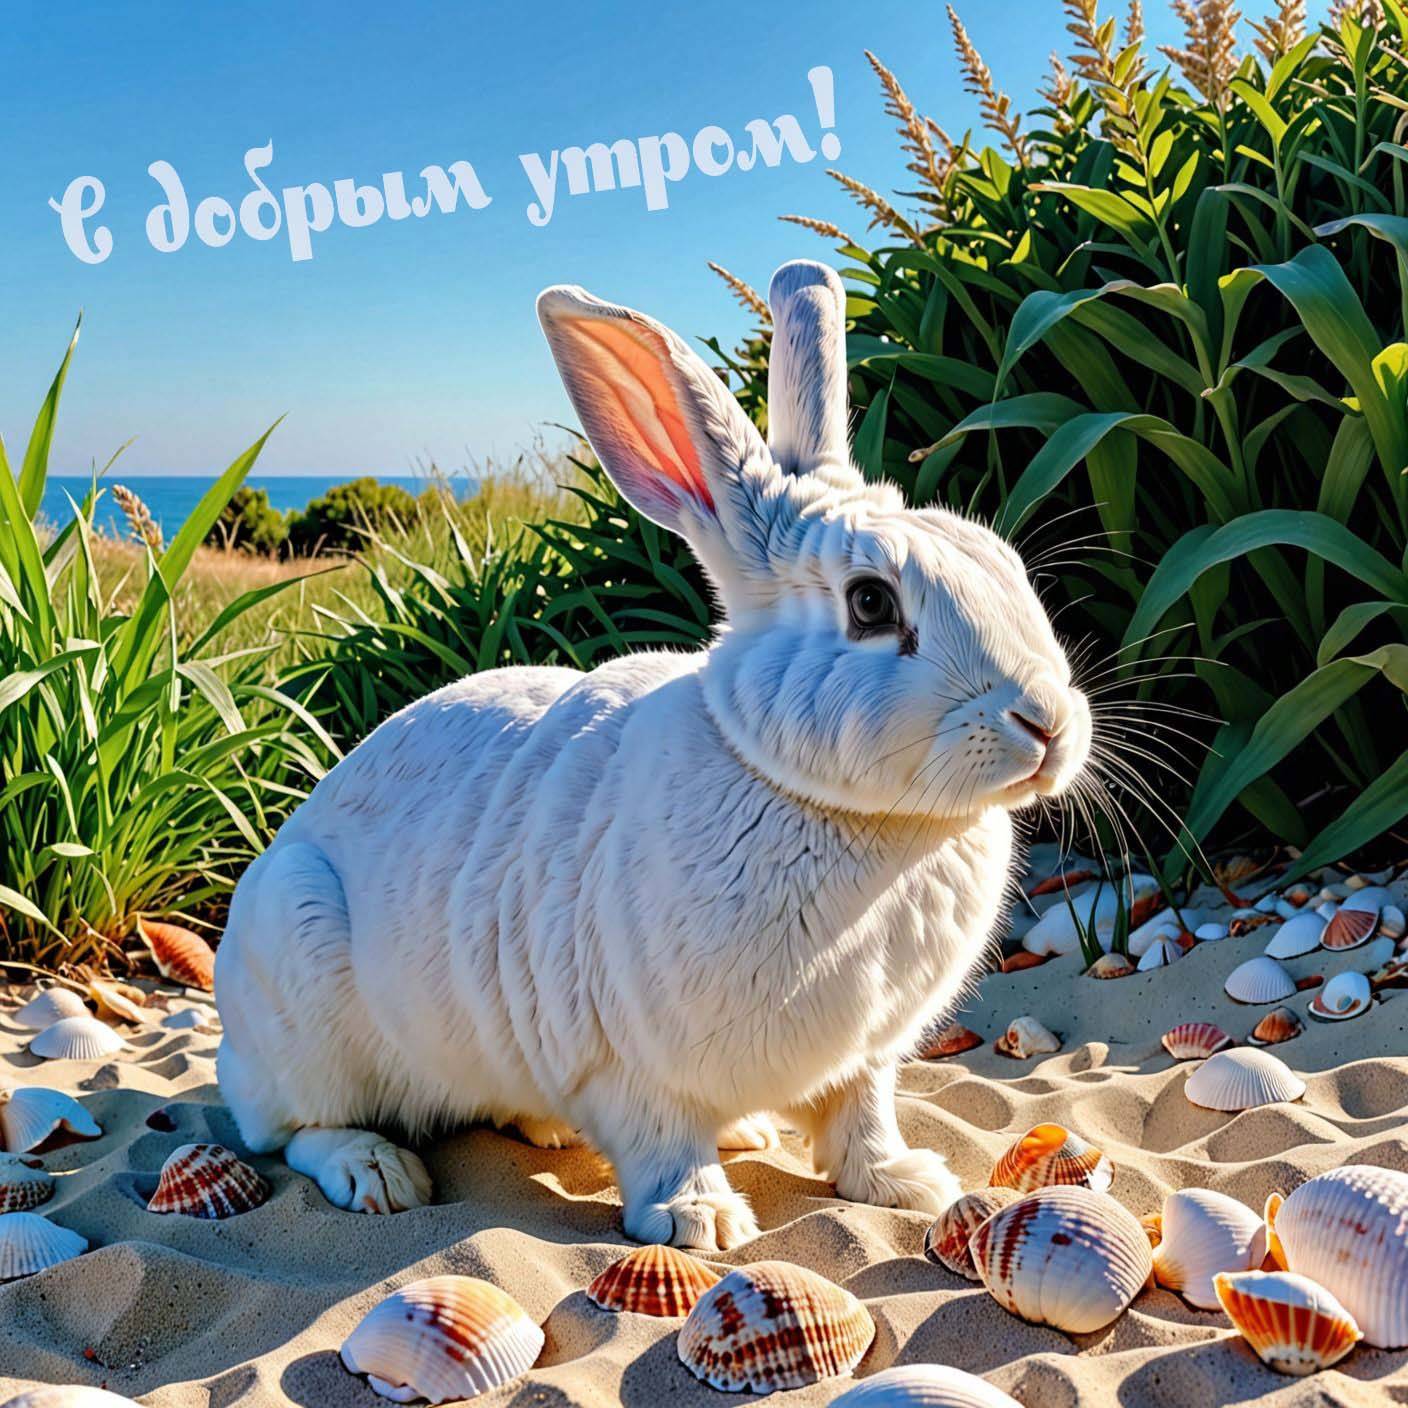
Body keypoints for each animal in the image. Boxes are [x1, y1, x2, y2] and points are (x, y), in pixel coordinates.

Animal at [214, 259, 1092, 1249]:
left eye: (1004, 565)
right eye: (870, 603)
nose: (1047, 724)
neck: (819, 798)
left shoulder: (865, 1058)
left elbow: (861, 1121)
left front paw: (907, 1184)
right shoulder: (627, 1059)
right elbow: (661, 1138)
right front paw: (699, 1221)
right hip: (301, 970)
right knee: (294, 1130)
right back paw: (380, 1173)